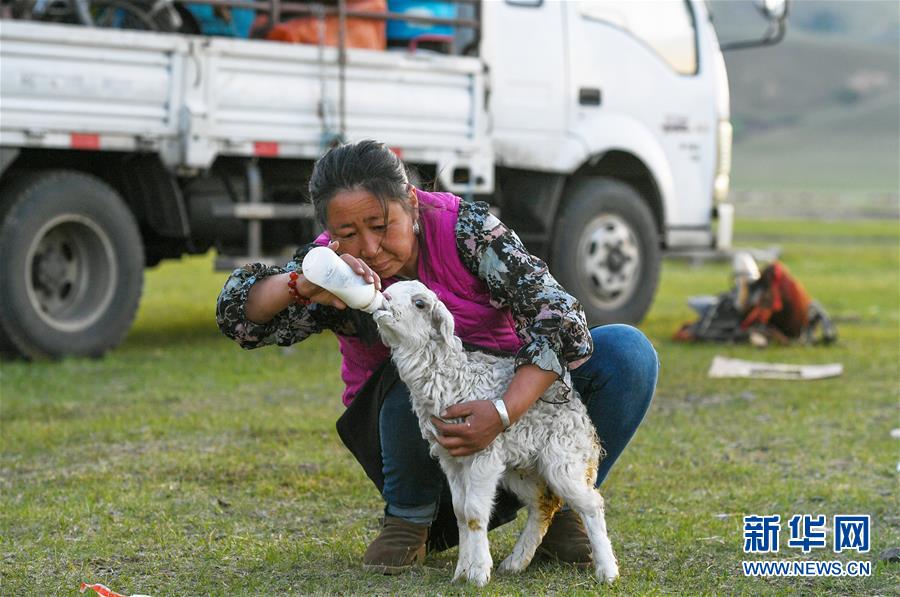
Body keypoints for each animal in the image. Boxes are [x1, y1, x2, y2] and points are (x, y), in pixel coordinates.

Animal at [372, 282, 620, 584]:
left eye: (419, 304)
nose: (383, 299)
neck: (455, 379)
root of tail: (574, 401)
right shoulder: (452, 459)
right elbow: (461, 512)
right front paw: (462, 572)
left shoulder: (482, 454)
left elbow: (474, 512)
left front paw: (478, 572)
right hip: (520, 467)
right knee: (543, 503)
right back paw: (515, 562)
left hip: (563, 457)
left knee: (591, 503)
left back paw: (607, 571)